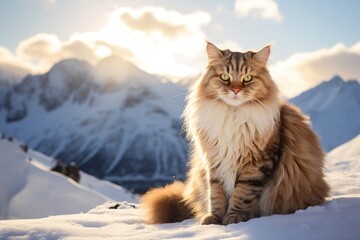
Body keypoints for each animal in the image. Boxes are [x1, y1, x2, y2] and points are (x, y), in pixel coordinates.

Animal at [141, 41, 330, 225]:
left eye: (247, 78)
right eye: (225, 77)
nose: (236, 90)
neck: (233, 116)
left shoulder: (256, 165)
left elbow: (242, 195)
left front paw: (234, 217)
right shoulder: (214, 163)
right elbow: (216, 195)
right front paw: (214, 219)